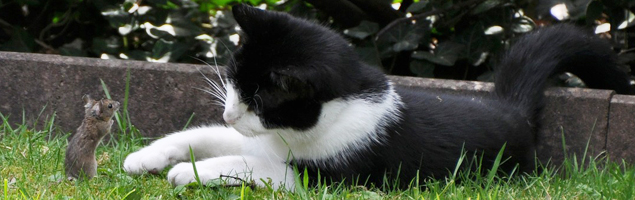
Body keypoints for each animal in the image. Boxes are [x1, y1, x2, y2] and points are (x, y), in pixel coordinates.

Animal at [121, 3, 632, 190]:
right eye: (231, 79)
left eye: (261, 100)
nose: (230, 114)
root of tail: (508, 108)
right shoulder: (263, 139)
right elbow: (202, 135)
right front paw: (144, 158)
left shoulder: (331, 177)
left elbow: (254, 165)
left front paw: (192, 172)